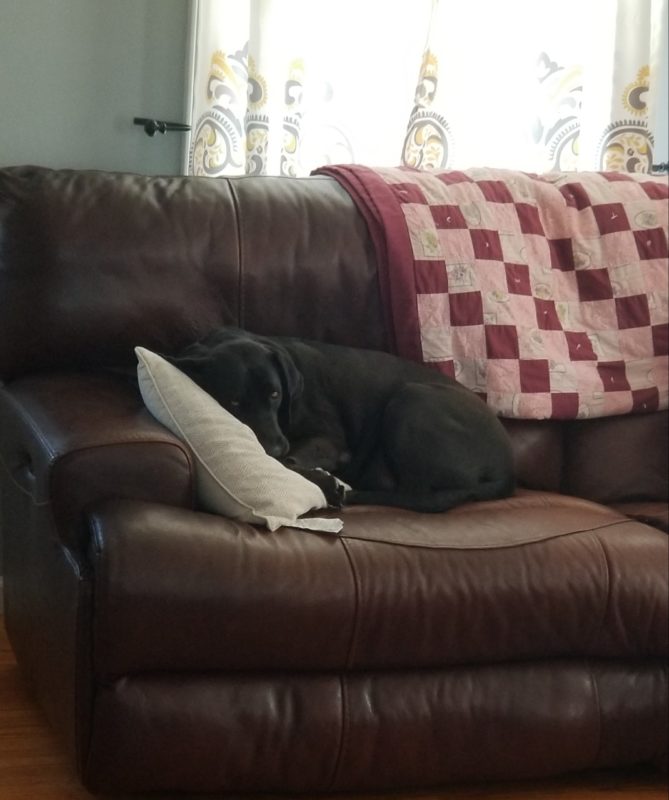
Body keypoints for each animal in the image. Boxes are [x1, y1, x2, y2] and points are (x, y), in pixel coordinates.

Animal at [167, 327, 515, 512]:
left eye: (275, 395)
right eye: (234, 402)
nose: (277, 446)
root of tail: (506, 468)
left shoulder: (330, 441)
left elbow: (290, 462)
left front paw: (324, 480)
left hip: (411, 400)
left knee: (416, 493)